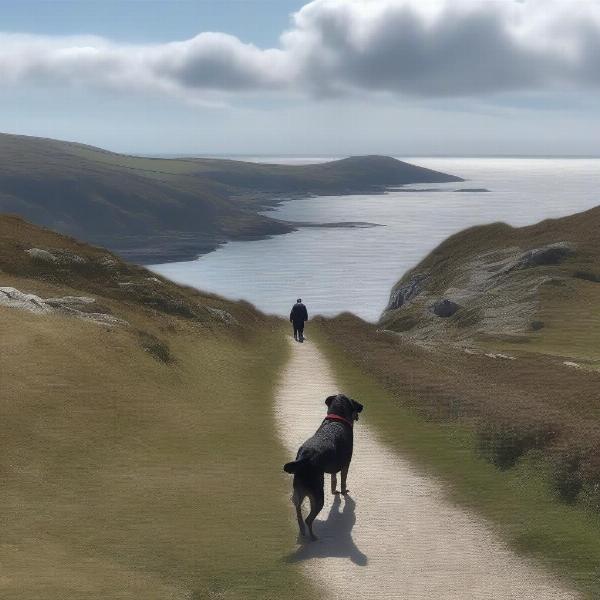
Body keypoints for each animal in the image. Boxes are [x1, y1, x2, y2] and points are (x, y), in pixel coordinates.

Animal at [284, 394, 364, 540]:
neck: (336, 418)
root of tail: (304, 458)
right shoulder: (346, 464)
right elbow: (343, 480)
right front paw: (343, 492)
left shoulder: (334, 465)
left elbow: (333, 479)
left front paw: (334, 491)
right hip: (317, 496)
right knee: (309, 519)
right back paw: (313, 537)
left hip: (298, 492)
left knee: (298, 512)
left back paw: (302, 530)